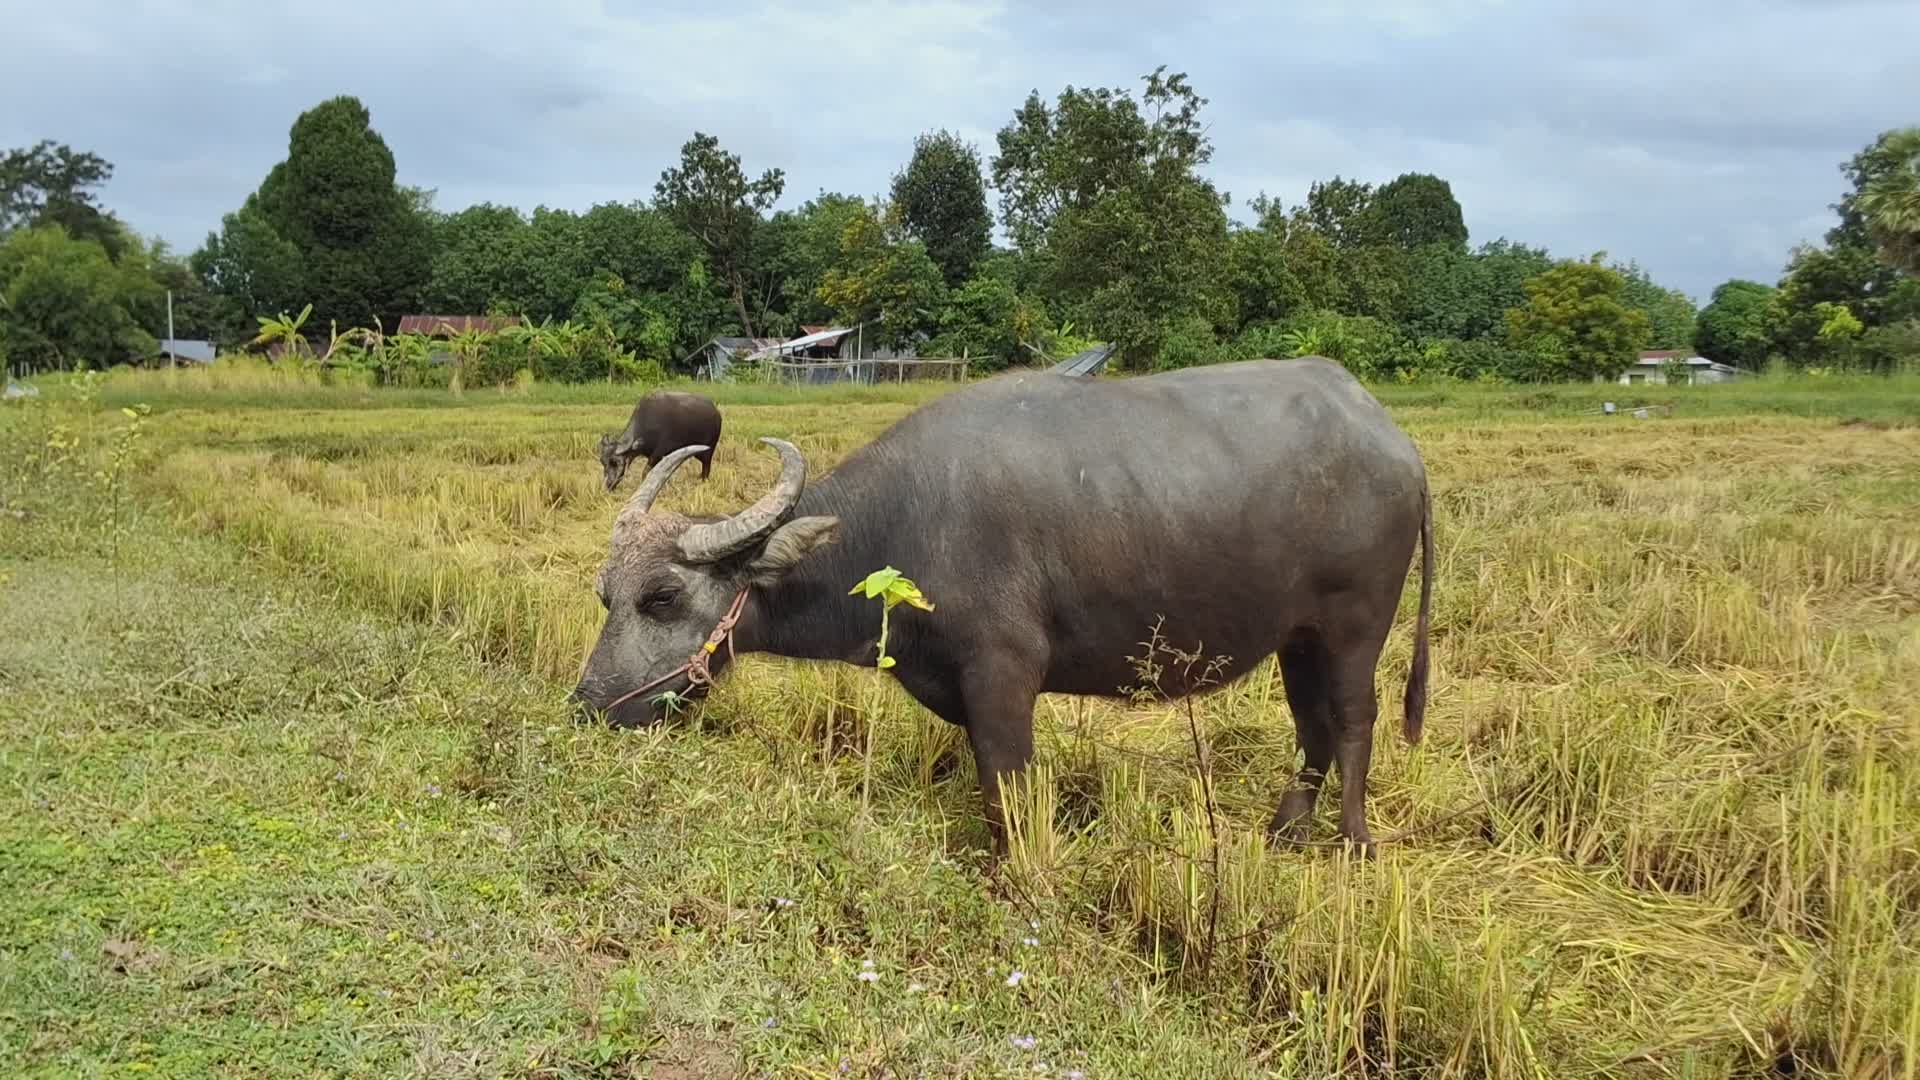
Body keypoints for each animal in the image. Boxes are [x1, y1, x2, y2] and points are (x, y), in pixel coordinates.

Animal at [572, 356, 1433, 855]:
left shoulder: (1003, 679)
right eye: (605, 594)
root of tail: (1393, 441)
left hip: (1356, 625)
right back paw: (1286, 833)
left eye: (662, 596)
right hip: (1298, 635)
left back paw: (1354, 842)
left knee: (1353, 721)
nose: (587, 707)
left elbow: (1007, 789)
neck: (906, 527)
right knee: (1311, 725)